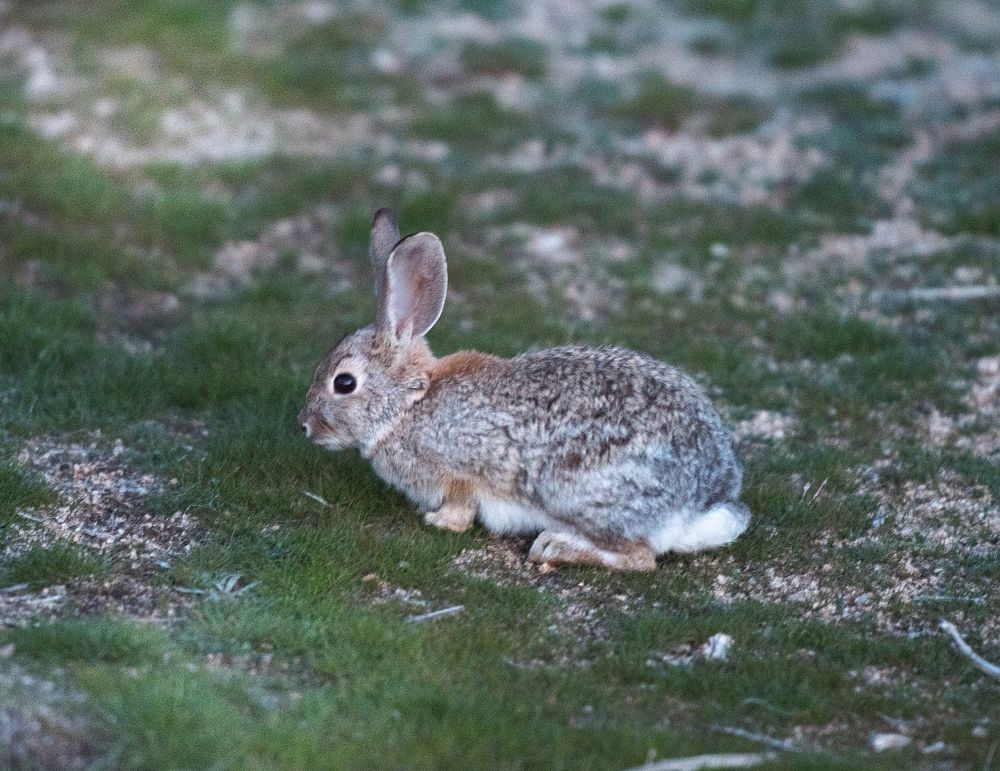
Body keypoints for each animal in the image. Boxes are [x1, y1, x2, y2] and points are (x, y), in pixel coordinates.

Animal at [296, 208, 752, 568]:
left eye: (344, 383)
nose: (303, 425)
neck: (409, 402)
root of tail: (703, 503)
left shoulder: (461, 471)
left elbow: (461, 510)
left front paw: (437, 521)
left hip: (579, 494)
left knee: (640, 557)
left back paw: (556, 548)